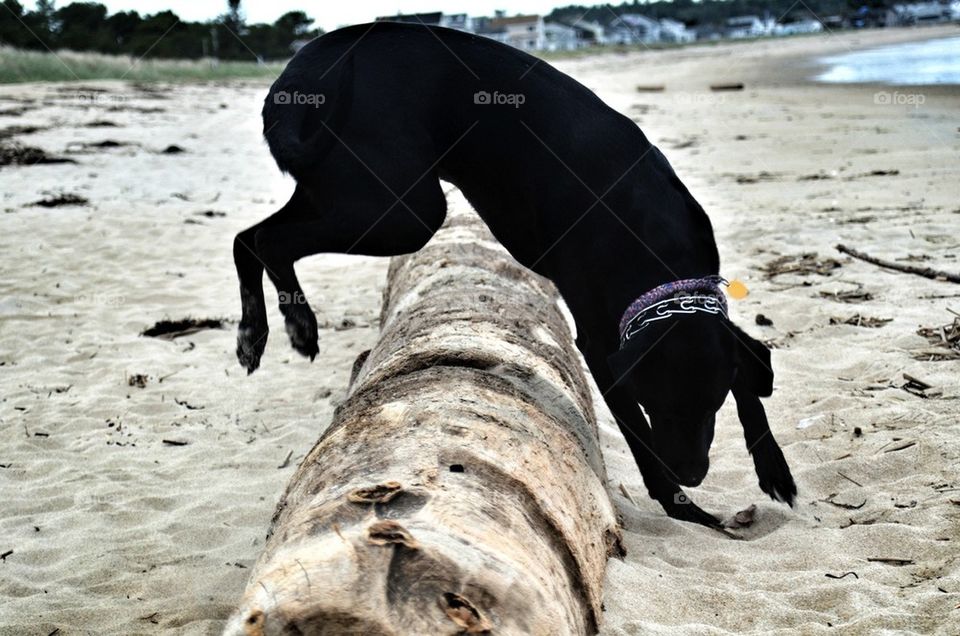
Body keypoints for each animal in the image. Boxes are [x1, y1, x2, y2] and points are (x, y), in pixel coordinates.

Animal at [234, 21, 796, 528]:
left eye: (711, 405)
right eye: (656, 402)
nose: (693, 473)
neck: (654, 242)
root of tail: (306, 67)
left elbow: (749, 377)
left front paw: (774, 468)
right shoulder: (602, 345)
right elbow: (639, 435)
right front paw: (685, 507)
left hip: (346, 193)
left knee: (247, 237)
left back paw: (257, 333)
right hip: (399, 209)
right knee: (267, 241)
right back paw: (294, 326)